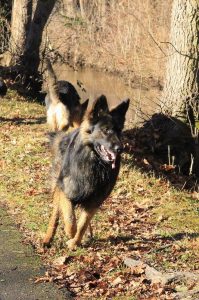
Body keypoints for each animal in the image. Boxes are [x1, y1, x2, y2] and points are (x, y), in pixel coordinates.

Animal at [43, 95, 129, 250]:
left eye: (119, 131)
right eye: (105, 130)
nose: (120, 148)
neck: (94, 164)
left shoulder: (94, 201)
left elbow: (83, 223)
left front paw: (75, 242)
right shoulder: (65, 190)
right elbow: (70, 217)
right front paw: (70, 233)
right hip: (57, 185)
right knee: (56, 214)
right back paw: (48, 238)